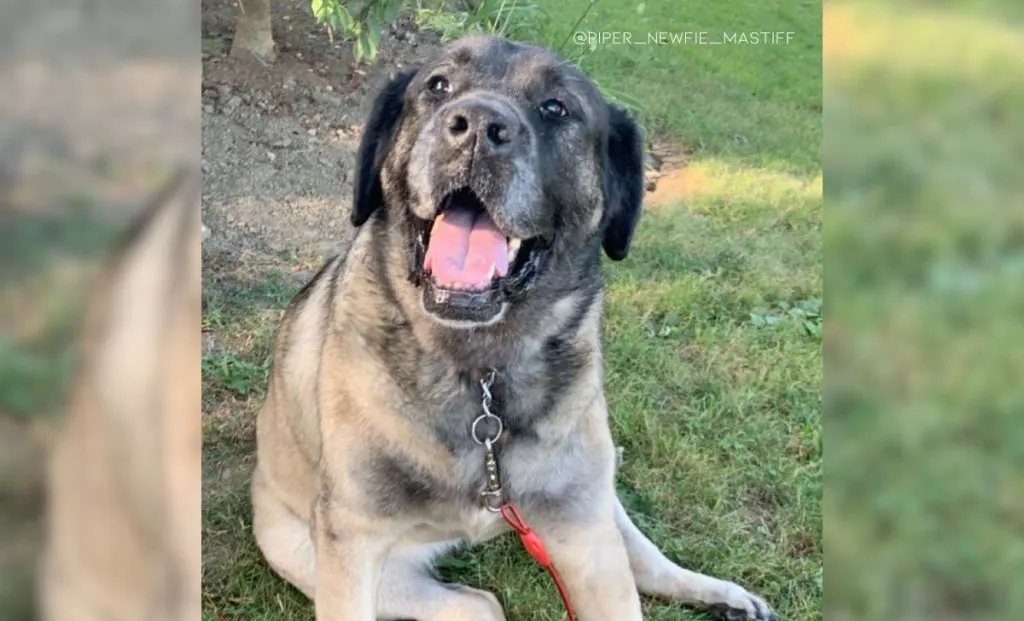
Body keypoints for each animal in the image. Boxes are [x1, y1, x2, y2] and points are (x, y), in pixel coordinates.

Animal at [249, 35, 774, 621]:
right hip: (316, 554)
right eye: (438, 85)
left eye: (556, 107)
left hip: (591, 502)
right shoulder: (351, 544)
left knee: (640, 556)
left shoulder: (585, 539)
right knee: (480, 602)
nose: (477, 126)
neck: (481, 375)